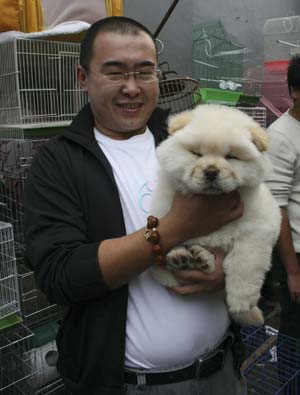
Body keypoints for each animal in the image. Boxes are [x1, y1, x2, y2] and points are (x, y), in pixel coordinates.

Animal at [150, 103, 282, 326]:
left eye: (231, 157)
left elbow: (244, 264)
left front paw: (241, 303)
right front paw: (177, 256)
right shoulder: (163, 213)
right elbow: (163, 263)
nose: (211, 171)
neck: (211, 201)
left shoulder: (256, 230)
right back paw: (186, 258)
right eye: (196, 153)